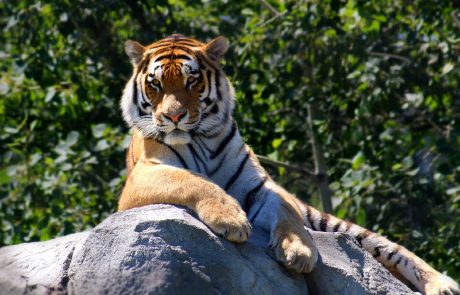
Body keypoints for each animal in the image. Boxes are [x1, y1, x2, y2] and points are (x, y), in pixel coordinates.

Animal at [119, 33, 460, 294]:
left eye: (191, 81)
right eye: (156, 84)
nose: (174, 116)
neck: (201, 138)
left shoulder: (261, 185)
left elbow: (285, 211)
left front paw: (300, 251)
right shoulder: (143, 176)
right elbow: (193, 180)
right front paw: (231, 220)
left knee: (393, 249)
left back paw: (442, 284)